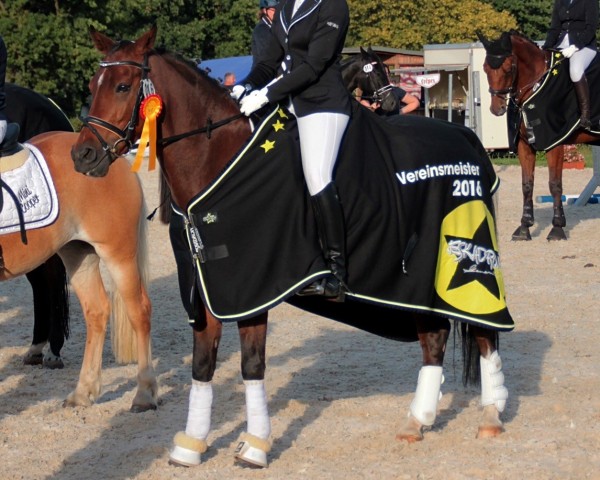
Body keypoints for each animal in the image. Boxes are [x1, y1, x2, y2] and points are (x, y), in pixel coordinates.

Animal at [0, 129, 157, 410]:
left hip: (119, 256)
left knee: (139, 312)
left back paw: (144, 394)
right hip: (78, 255)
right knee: (97, 311)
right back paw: (84, 391)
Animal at [69, 26, 510, 468]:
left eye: (123, 86)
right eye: (92, 86)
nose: (82, 155)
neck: (219, 161)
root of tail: (466, 137)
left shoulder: (251, 288)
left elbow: (251, 364)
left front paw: (256, 445)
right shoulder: (207, 289)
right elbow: (202, 363)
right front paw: (191, 444)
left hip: (471, 269)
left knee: (484, 333)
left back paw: (491, 416)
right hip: (422, 281)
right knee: (434, 337)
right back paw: (416, 421)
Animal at [478, 29, 600, 240]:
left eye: (508, 69)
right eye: (485, 68)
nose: (496, 109)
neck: (537, 85)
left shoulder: (555, 142)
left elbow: (555, 184)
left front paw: (557, 228)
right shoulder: (524, 144)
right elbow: (527, 184)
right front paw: (524, 227)